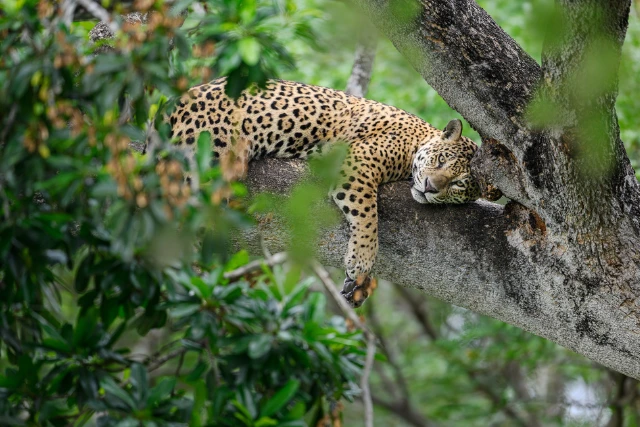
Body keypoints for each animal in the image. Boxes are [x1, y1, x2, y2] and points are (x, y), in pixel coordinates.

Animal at [156, 77, 485, 307]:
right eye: (440, 160)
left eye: (457, 184)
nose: (430, 187)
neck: (419, 137)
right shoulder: (355, 161)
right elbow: (368, 216)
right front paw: (362, 259)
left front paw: (361, 285)